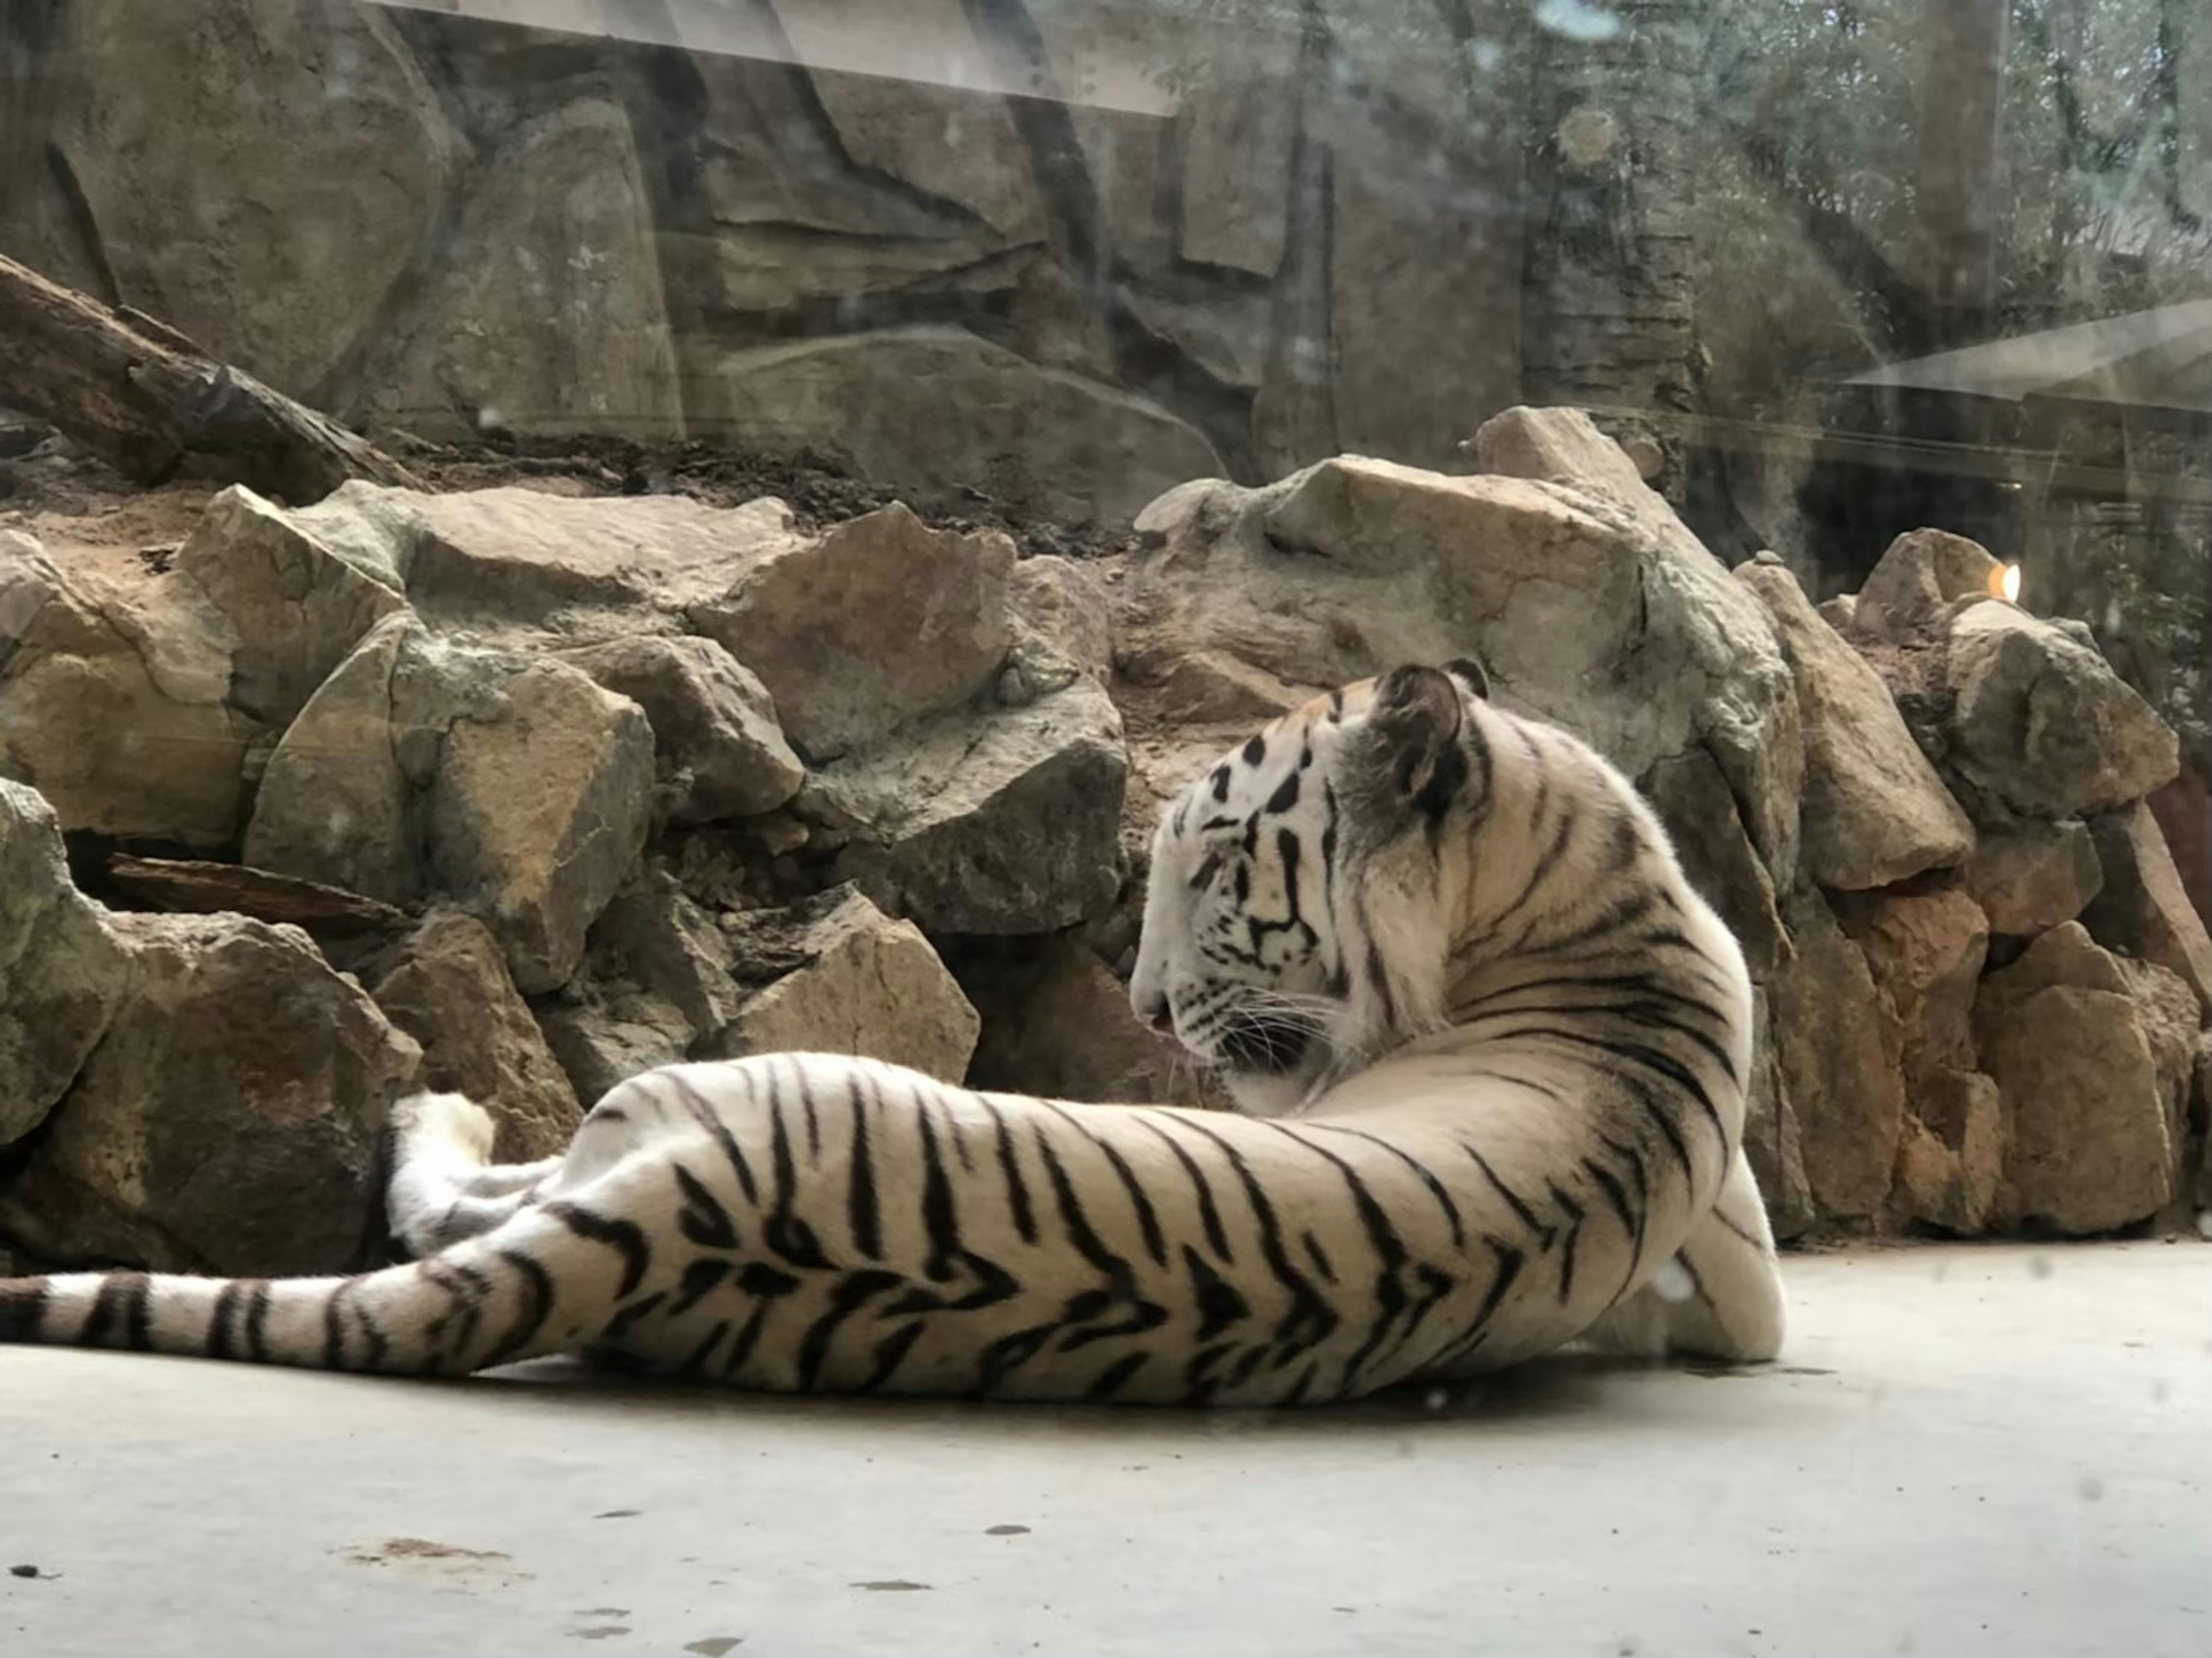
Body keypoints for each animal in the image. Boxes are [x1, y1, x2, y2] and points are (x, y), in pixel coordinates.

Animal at [0, 663, 1778, 1406]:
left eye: (1213, 863)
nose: (1142, 1007)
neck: (1600, 907)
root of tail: (673, 1226)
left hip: (689, 1097)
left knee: (455, 1200)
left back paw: (431, 1106)